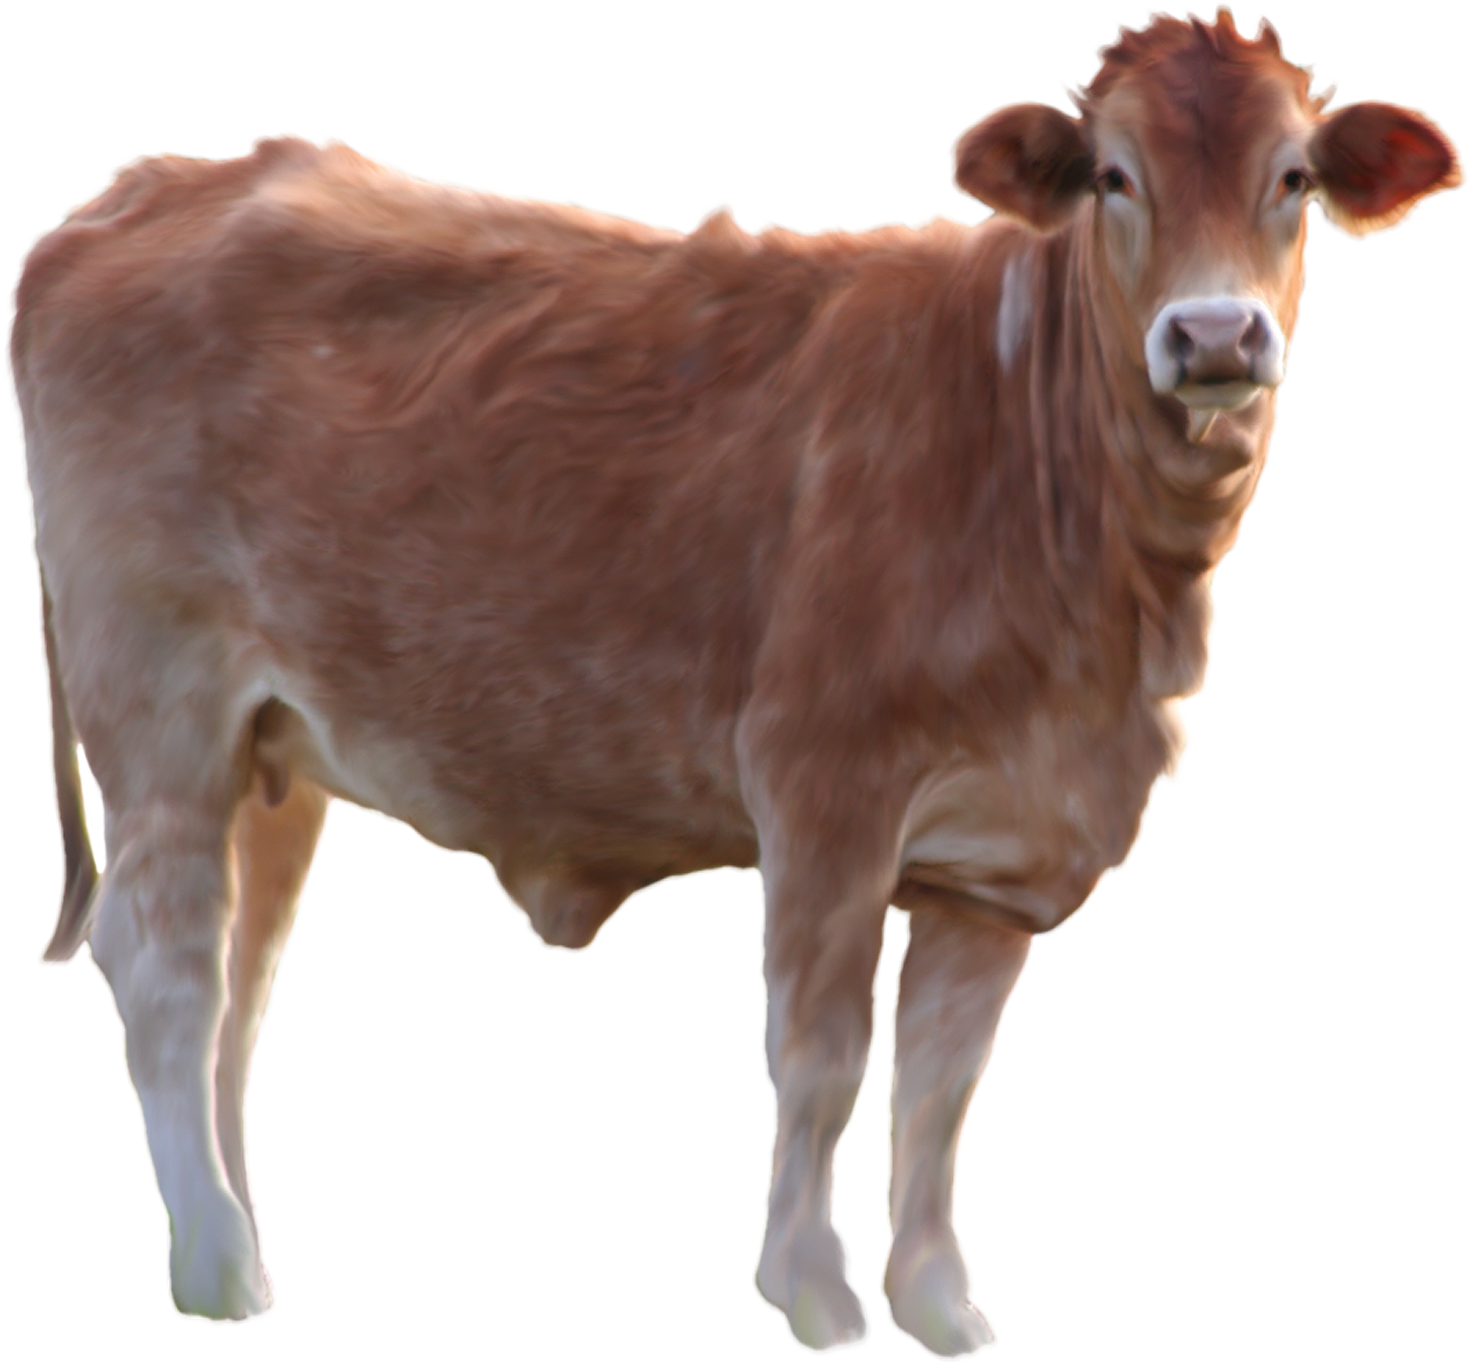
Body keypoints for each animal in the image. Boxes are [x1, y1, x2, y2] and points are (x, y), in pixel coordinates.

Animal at [14, 7, 1459, 1356]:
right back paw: (227, 1275)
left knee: (237, 976)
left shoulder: (1006, 850)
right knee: (165, 964)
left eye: (1292, 176)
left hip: (274, 746)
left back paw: (230, 1256)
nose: (1213, 334)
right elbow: (822, 1057)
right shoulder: (825, 783)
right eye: (1114, 174)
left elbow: (942, 1081)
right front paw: (817, 1297)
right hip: (160, 701)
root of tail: (141, 194)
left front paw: (943, 1312)